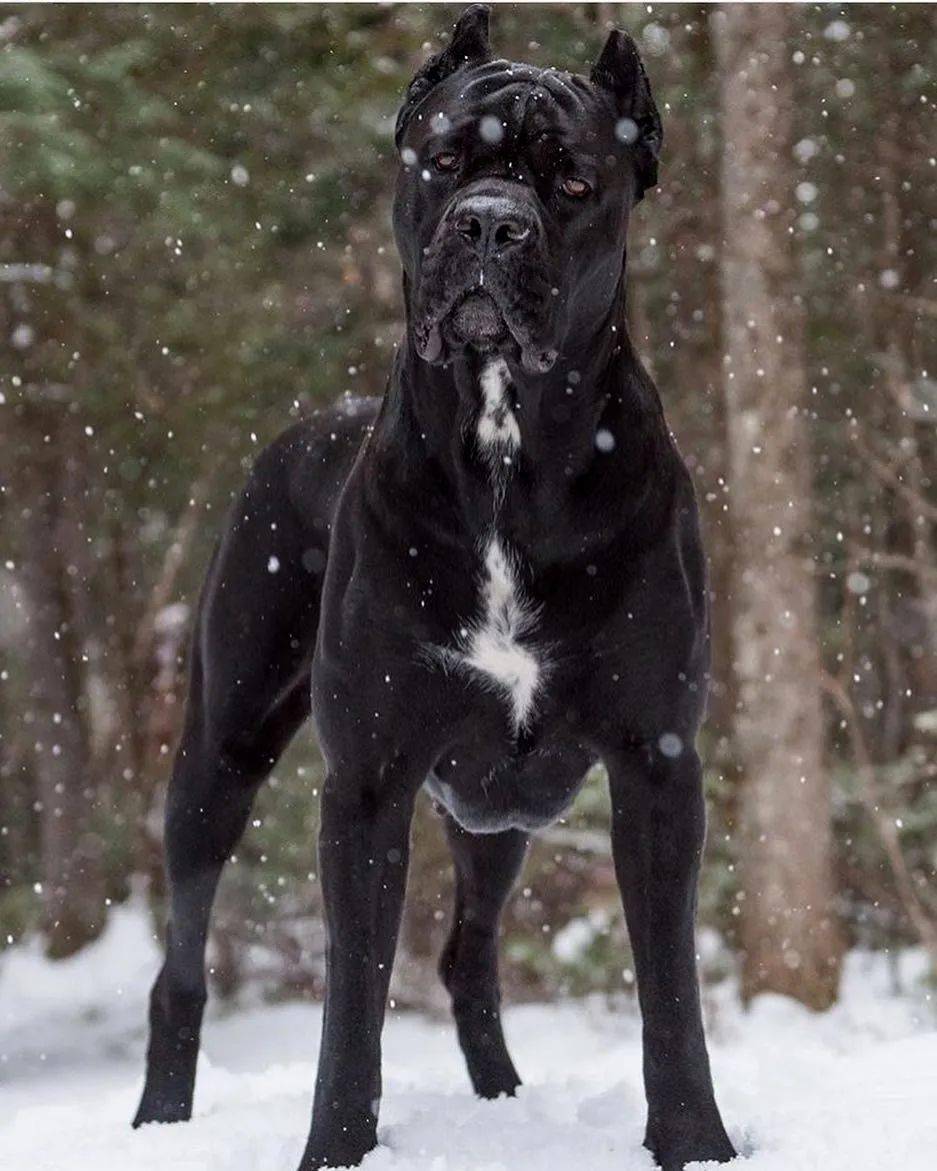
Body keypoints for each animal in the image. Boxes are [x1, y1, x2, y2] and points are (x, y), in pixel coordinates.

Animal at [135, 9, 740, 1171]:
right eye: (447, 160)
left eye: (571, 178)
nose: (491, 225)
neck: (504, 440)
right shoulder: (368, 780)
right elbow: (353, 1001)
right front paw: (336, 1146)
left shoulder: (656, 763)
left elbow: (669, 989)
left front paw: (695, 1142)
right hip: (219, 753)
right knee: (180, 965)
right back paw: (157, 1119)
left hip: (497, 804)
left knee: (468, 952)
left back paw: (501, 1100)